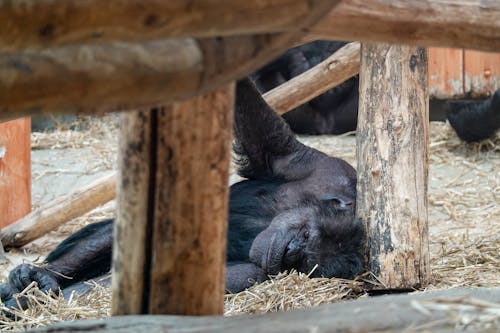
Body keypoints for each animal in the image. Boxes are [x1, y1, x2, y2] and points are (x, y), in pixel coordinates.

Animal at [0, 79, 368, 310]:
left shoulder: (257, 274)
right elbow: (262, 127)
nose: (290, 250)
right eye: (306, 235)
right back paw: (36, 277)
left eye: (303, 262)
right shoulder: (317, 166)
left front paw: (27, 303)